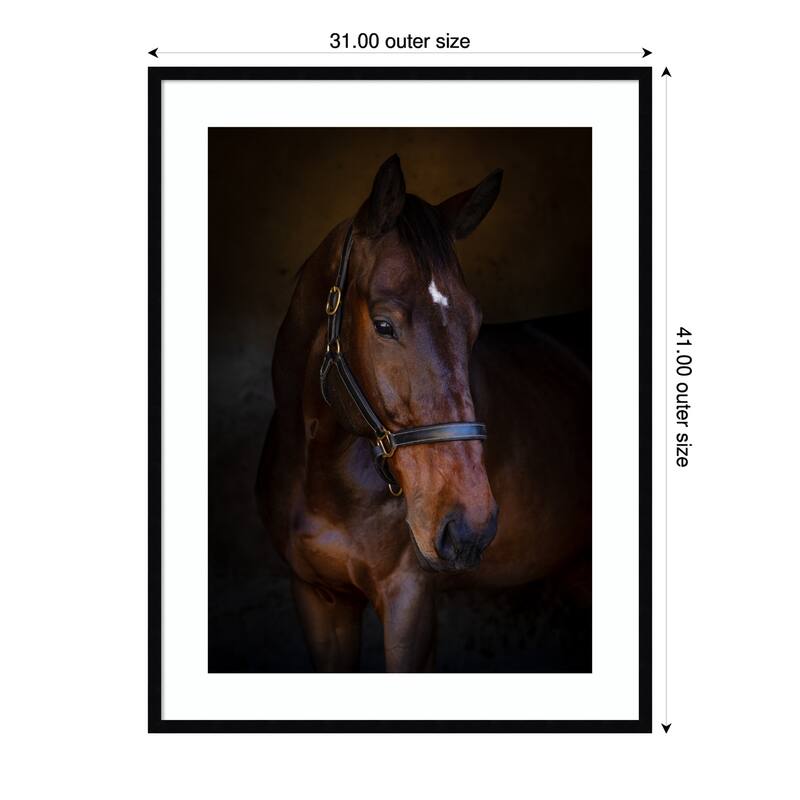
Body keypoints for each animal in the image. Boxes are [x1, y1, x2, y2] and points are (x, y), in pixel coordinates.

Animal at [256, 155, 590, 672]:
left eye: (474, 325)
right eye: (383, 325)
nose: (470, 528)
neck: (320, 472)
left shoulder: (409, 601)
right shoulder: (318, 599)